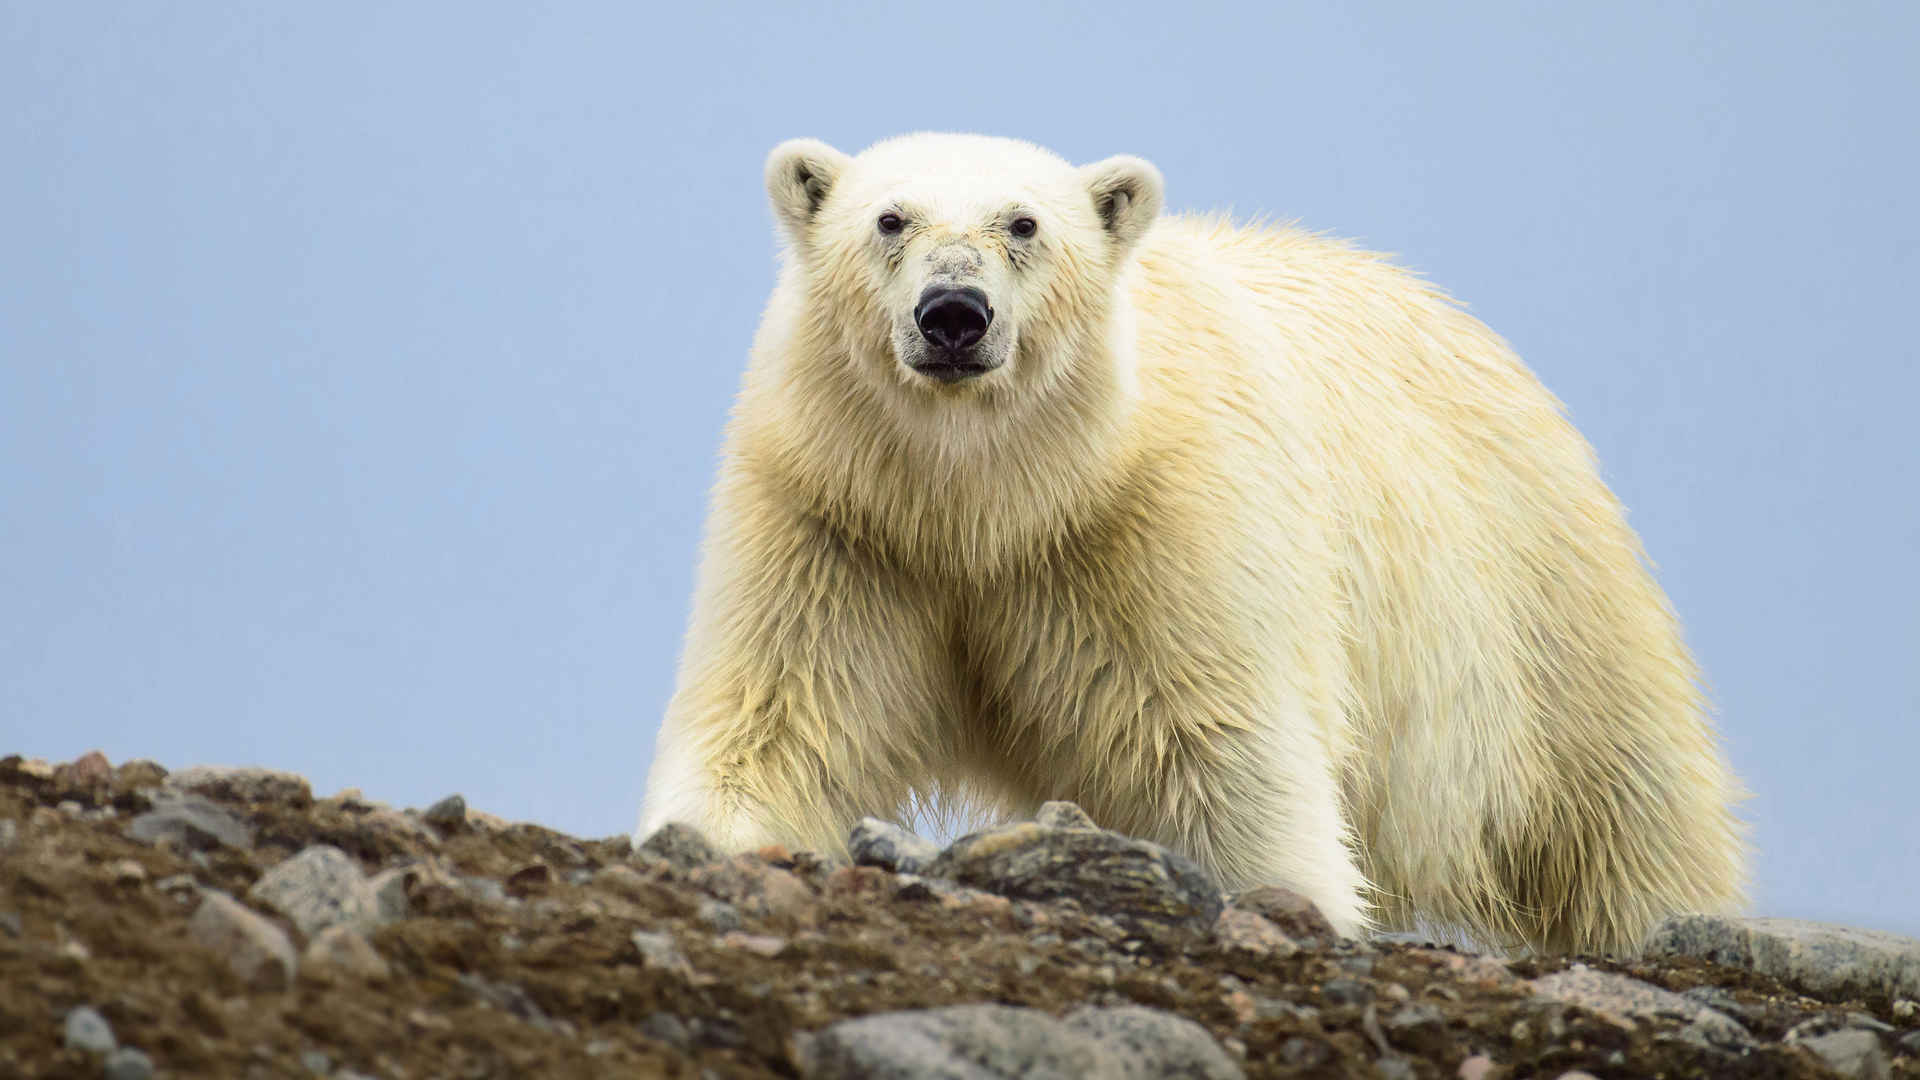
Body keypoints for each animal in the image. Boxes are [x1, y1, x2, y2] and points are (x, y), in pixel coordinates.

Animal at [637, 130, 1751, 945]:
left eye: (1024, 223)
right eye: (889, 218)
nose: (954, 313)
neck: (989, 503)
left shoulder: (1155, 530)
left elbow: (1220, 751)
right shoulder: (840, 525)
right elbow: (780, 718)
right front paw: (705, 839)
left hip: (1536, 595)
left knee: (1623, 803)